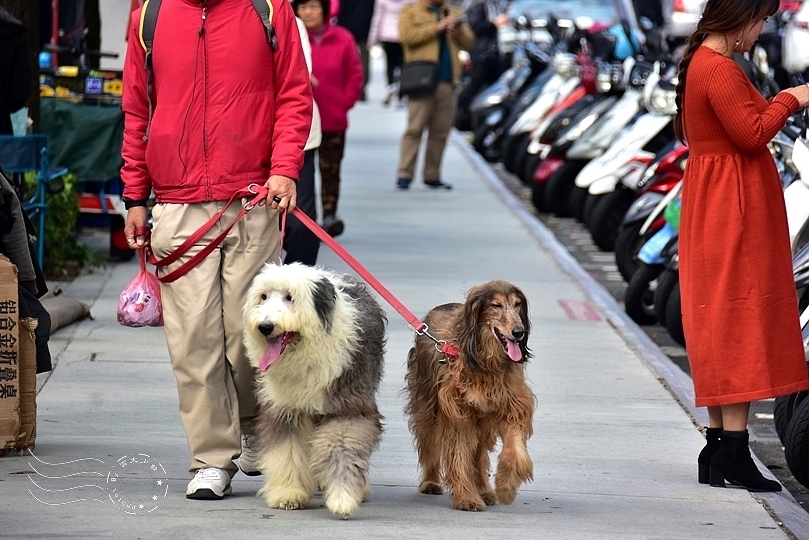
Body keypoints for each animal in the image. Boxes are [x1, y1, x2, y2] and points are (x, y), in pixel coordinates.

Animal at [241, 262, 386, 520]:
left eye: (290, 297)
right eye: (263, 296)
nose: (266, 327)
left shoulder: (347, 405)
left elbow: (343, 446)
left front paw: (343, 496)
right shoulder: (285, 409)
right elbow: (287, 451)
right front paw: (288, 493)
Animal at [408, 280, 532, 512]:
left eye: (517, 304)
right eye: (496, 305)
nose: (519, 332)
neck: (486, 362)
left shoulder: (510, 404)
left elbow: (514, 447)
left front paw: (506, 486)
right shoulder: (458, 413)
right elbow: (458, 455)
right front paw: (466, 497)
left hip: (482, 424)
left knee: (478, 456)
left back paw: (484, 489)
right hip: (427, 404)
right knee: (429, 441)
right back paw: (431, 481)